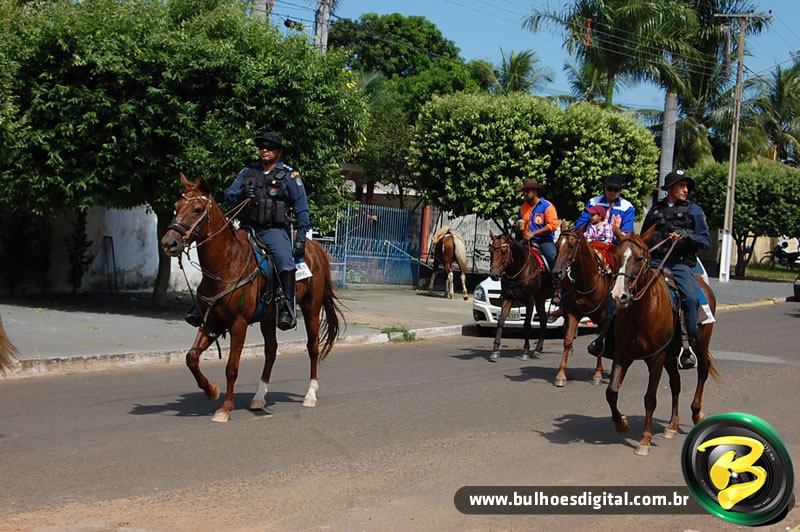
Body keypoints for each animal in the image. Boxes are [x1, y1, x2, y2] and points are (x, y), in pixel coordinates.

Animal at [160, 174, 344, 422]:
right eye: (176, 207)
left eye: (197, 209)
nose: (169, 243)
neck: (226, 265)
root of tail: (314, 246)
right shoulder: (211, 322)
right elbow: (191, 357)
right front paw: (211, 390)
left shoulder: (238, 325)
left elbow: (231, 367)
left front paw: (225, 408)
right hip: (267, 317)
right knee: (271, 351)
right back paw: (259, 397)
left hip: (311, 309)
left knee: (313, 347)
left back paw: (310, 395)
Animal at [487, 232, 553, 361]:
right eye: (491, 251)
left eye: (503, 252)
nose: (493, 275)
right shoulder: (508, 298)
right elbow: (501, 321)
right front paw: (495, 350)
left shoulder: (529, 300)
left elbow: (527, 324)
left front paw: (525, 351)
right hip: (540, 300)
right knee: (543, 321)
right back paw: (538, 349)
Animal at [550, 222, 609, 387]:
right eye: (557, 245)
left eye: (571, 246)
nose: (556, 273)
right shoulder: (572, 313)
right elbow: (567, 340)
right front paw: (561, 375)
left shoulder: (603, 317)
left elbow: (600, 342)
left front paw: (598, 374)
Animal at [606, 225, 718, 456]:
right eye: (616, 256)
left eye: (640, 258)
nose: (619, 295)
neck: (641, 312)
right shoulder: (622, 355)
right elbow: (611, 392)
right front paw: (621, 422)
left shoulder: (656, 358)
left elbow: (650, 398)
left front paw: (645, 440)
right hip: (671, 356)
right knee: (676, 383)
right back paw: (672, 425)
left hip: (700, 345)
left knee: (702, 371)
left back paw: (697, 413)